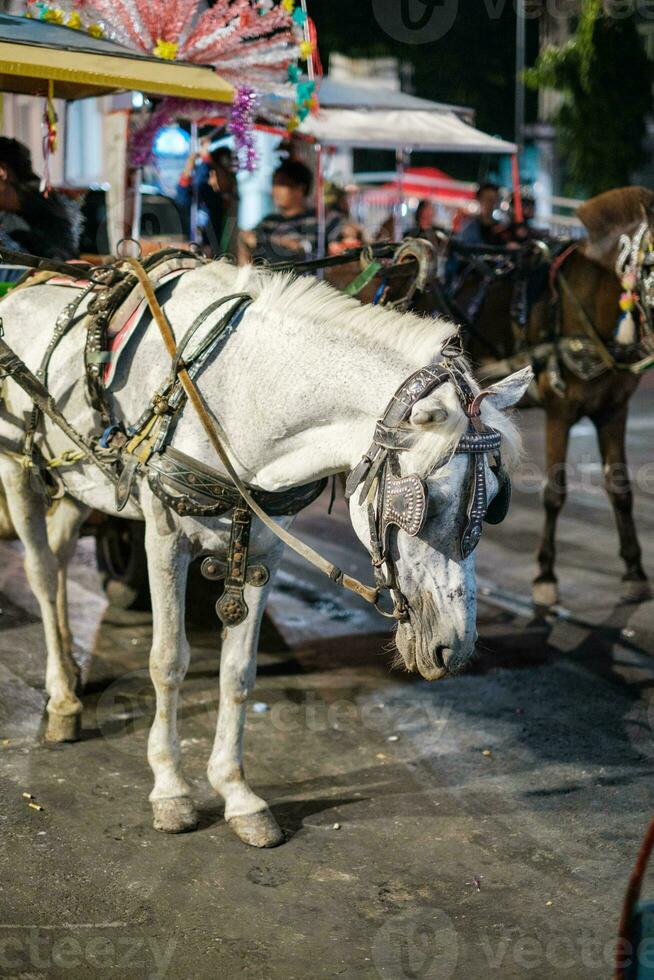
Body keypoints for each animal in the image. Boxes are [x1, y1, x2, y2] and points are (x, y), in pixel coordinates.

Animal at [0, 256, 532, 848]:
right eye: (424, 502)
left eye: (497, 500)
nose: (454, 650)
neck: (238, 396)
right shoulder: (164, 538)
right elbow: (168, 661)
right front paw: (170, 788)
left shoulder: (264, 551)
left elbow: (238, 672)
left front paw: (236, 793)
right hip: (18, 466)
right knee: (41, 571)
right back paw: (62, 698)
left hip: (79, 483)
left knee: (61, 554)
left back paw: (70, 667)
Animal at [430, 186, 654, 604]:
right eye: (651, 265)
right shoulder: (561, 412)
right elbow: (555, 490)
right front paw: (546, 575)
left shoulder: (614, 409)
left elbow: (620, 487)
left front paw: (634, 571)